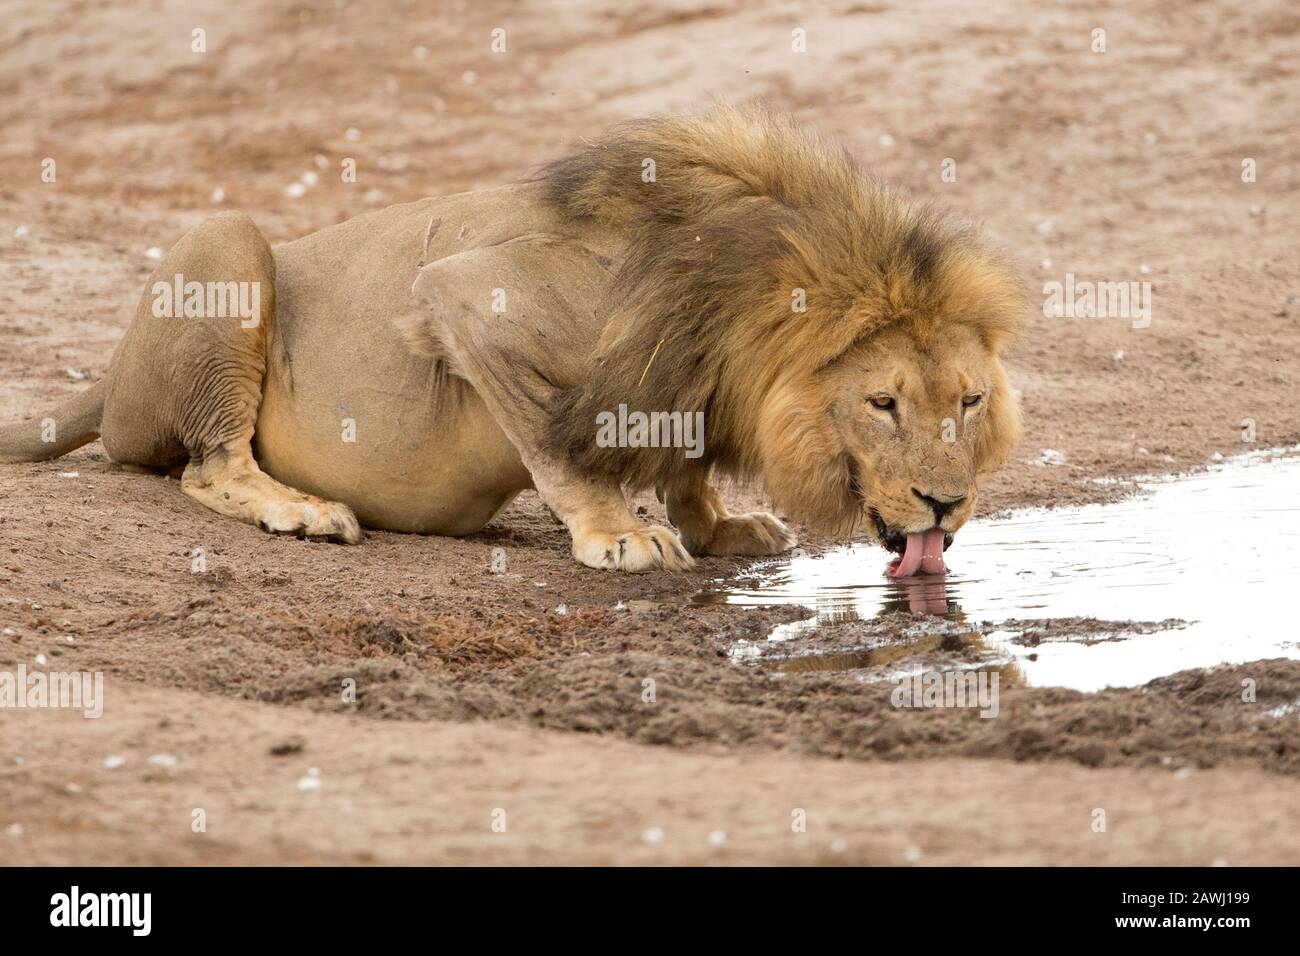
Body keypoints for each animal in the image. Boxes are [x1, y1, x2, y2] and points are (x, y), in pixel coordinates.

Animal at [5, 109, 1029, 580]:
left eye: (970, 402)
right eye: (883, 403)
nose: (946, 504)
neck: (732, 307)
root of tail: (110, 376)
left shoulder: (694, 383)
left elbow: (688, 459)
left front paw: (715, 523)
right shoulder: (468, 298)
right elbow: (560, 447)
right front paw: (621, 535)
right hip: (230, 246)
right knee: (207, 467)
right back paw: (303, 511)